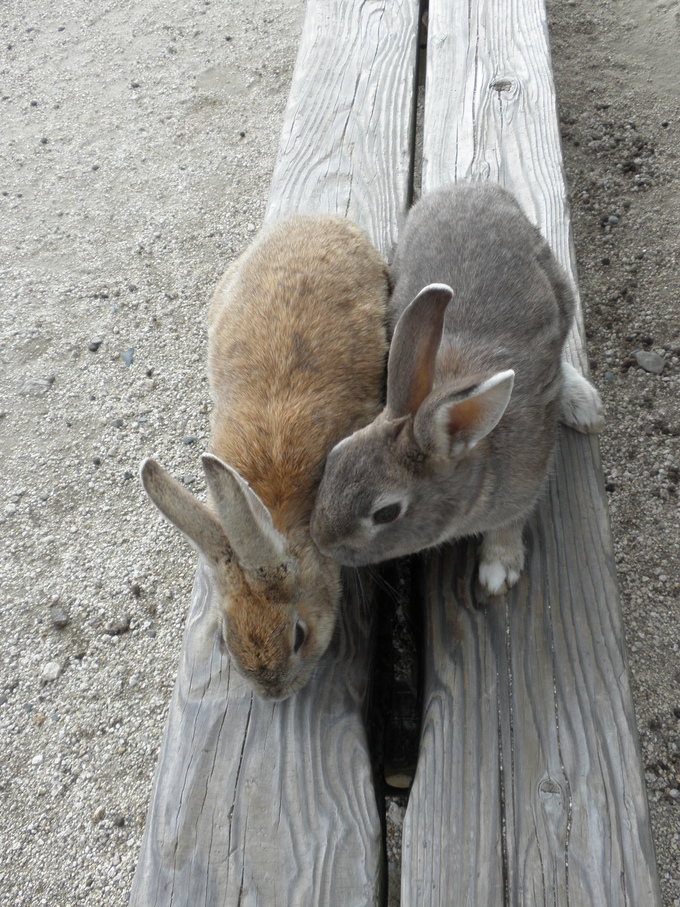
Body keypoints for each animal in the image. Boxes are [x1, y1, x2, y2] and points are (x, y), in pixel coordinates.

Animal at [310, 184, 604, 596]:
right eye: (337, 453)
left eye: (386, 513)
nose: (322, 541)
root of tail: (473, 188)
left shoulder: (527, 482)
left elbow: (512, 521)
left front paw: (499, 570)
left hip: (561, 289)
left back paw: (584, 405)